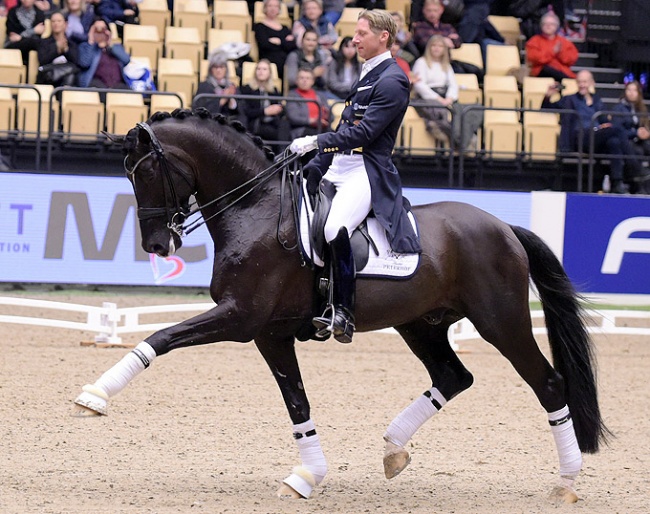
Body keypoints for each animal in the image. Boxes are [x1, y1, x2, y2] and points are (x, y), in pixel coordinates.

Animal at [73, 109, 604, 500]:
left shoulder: (240, 318)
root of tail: (503, 226)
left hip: (500, 321)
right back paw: (393, 450)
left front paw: (95, 396)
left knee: (548, 384)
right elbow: (297, 402)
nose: (157, 245)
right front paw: (306, 477)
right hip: (422, 324)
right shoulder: (269, 332)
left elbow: (161, 337)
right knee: (454, 377)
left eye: (146, 172)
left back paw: (566, 482)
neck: (255, 208)